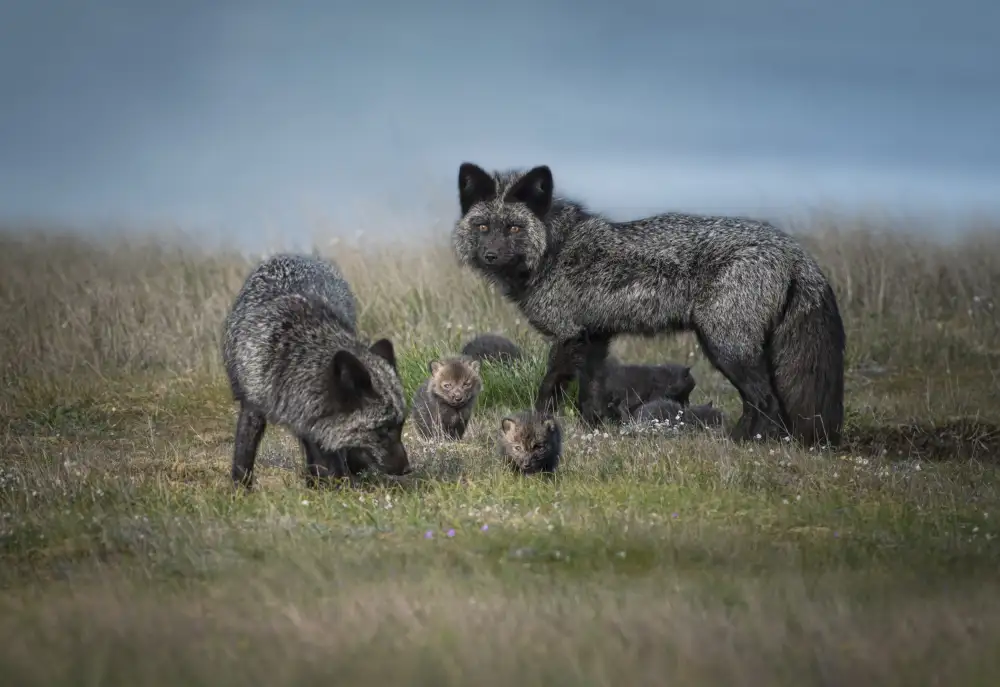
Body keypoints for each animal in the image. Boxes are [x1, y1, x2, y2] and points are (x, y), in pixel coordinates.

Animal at [221, 253, 411, 490]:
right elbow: (243, 455)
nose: (407, 470)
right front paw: (240, 490)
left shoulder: (312, 418)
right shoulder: (253, 406)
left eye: (400, 425)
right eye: (383, 429)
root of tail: (292, 255)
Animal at [452, 162, 846, 446]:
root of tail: (793, 249)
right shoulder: (594, 337)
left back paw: (744, 444)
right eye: (484, 227)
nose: (490, 255)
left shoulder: (569, 336)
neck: (554, 251)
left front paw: (536, 425)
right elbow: (590, 393)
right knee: (762, 401)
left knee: (766, 401)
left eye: (514, 229)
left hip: (726, 348)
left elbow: (549, 387)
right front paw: (594, 430)